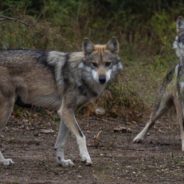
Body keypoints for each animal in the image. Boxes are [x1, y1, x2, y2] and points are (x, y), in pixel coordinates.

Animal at [0, 37, 123, 167]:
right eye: (94, 64)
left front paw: (62, 161)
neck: (78, 73)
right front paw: (86, 157)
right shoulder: (65, 110)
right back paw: (4, 161)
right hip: (7, 109)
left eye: (108, 64)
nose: (102, 79)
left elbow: (61, 142)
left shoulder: (67, 112)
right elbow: (81, 136)